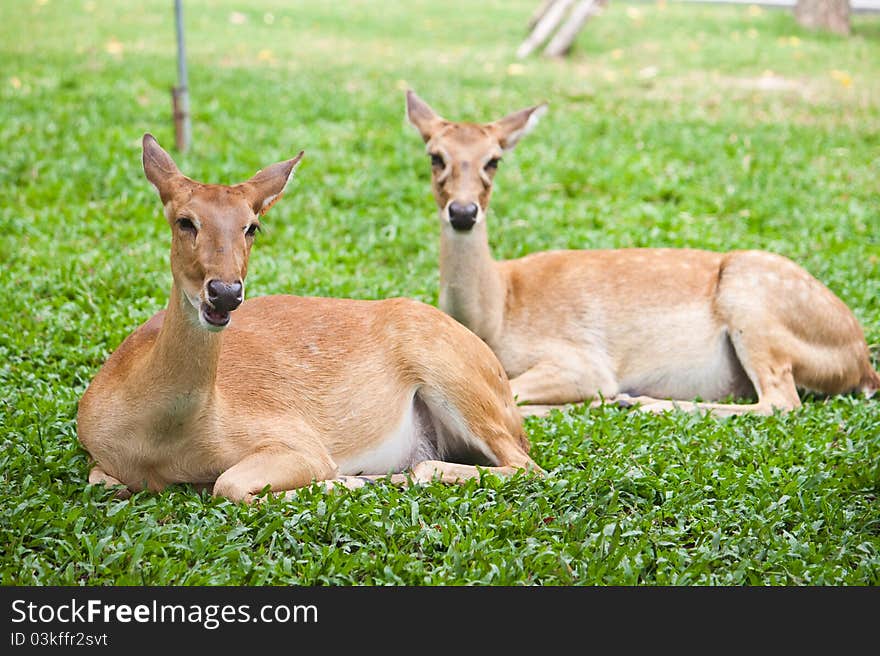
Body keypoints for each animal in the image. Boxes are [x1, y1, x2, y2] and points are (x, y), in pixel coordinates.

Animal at [77, 135, 544, 502]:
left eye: (252, 227)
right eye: (184, 221)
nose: (225, 292)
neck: (163, 438)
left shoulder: (295, 438)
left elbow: (230, 484)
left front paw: (351, 481)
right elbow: (102, 480)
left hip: (455, 377)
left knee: (524, 465)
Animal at [406, 89, 880, 418]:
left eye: (494, 160)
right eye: (434, 156)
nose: (463, 212)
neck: (496, 313)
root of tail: (861, 363)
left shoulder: (583, 360)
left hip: (754, 300)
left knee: (781, 400)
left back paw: (641, 402)